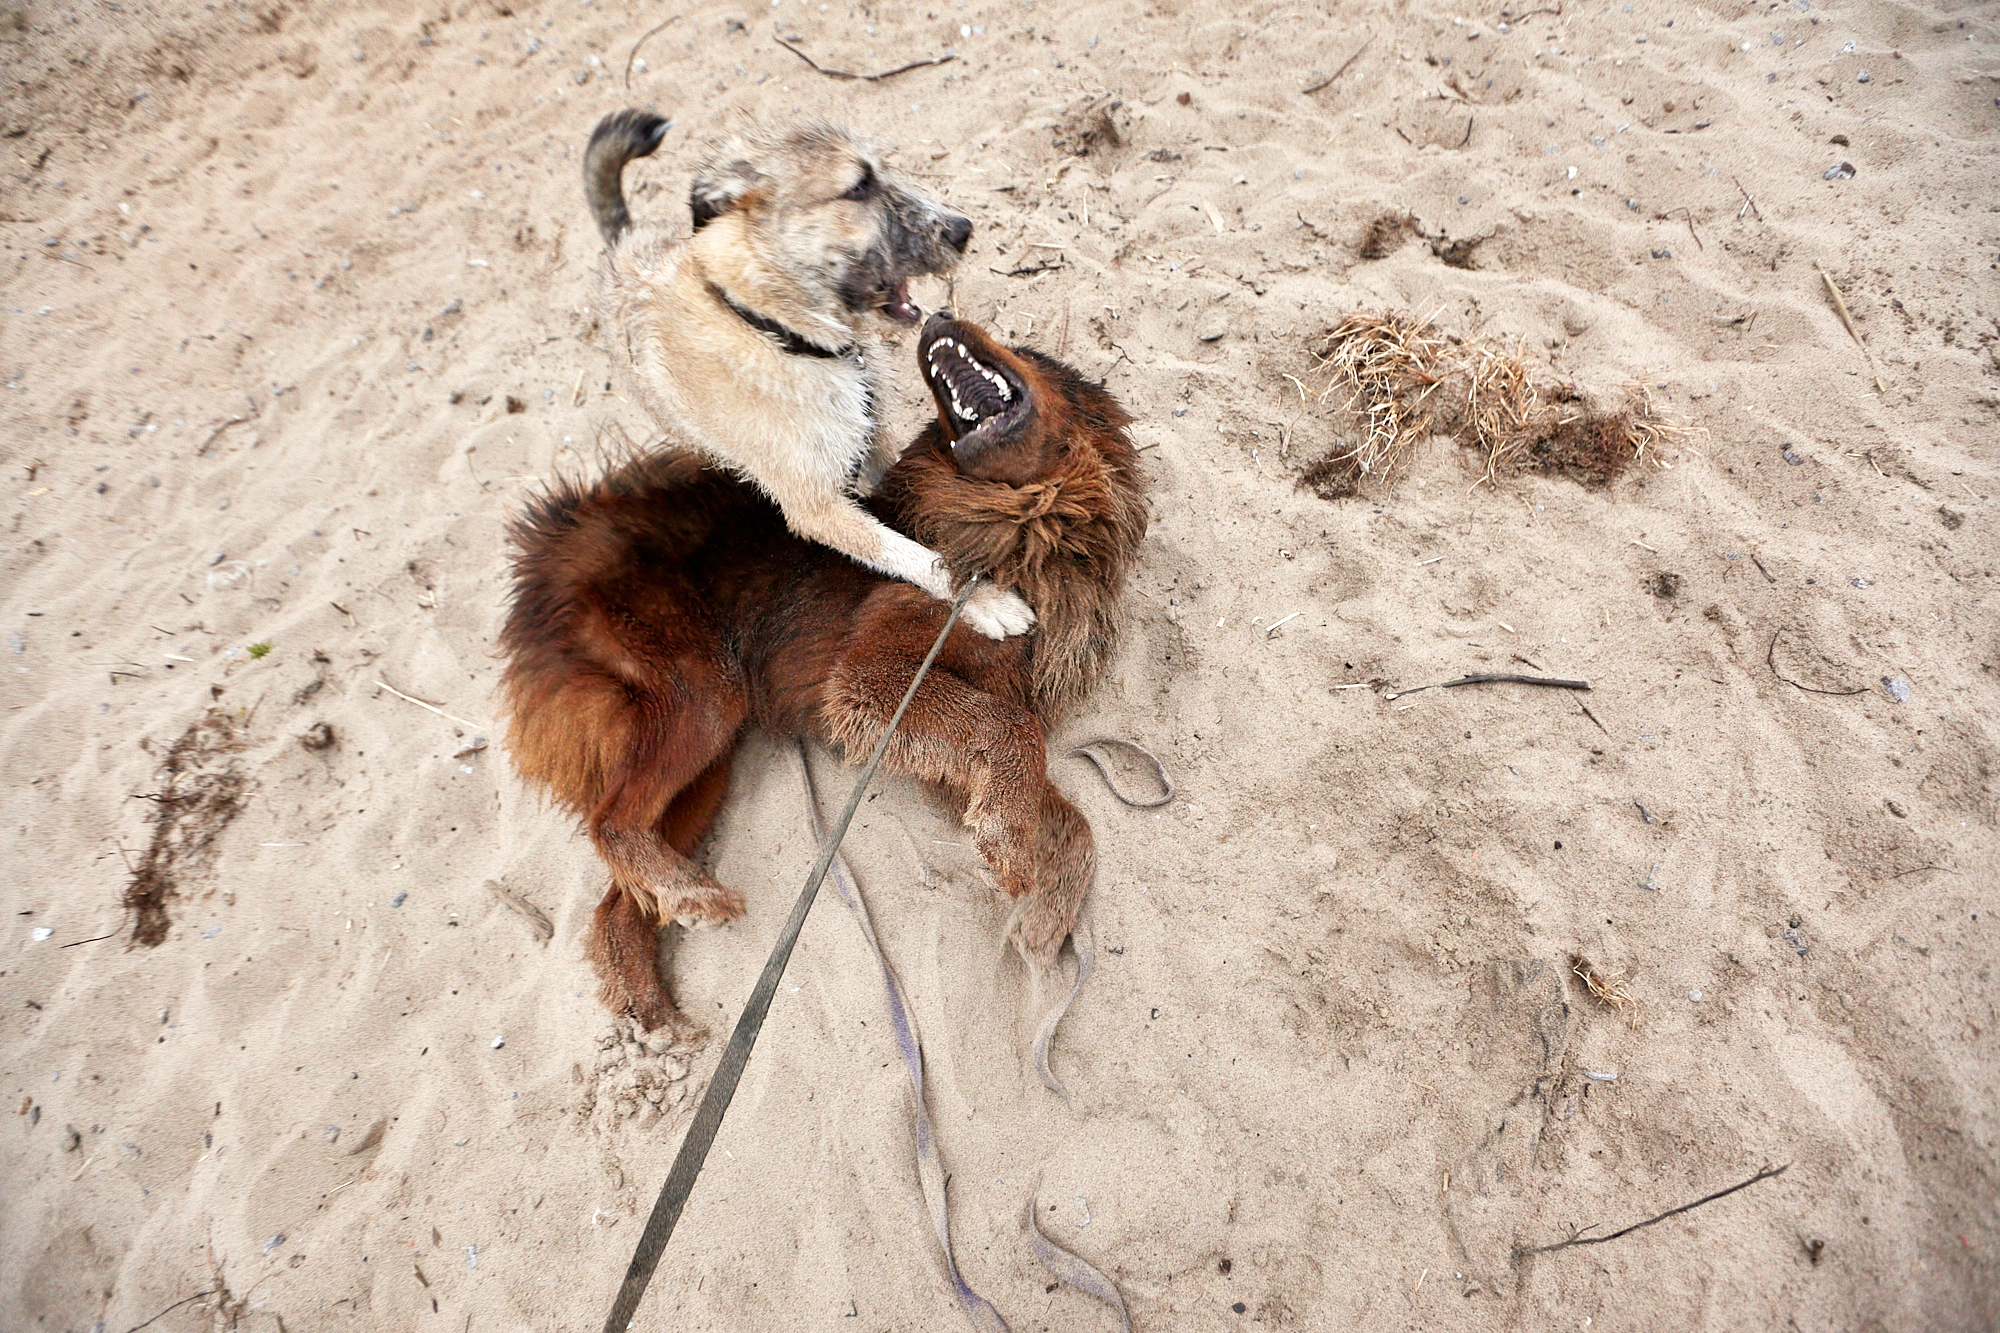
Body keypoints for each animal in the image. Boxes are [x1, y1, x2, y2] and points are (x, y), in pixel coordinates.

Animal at [500, 314, 1152, 1040]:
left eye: (1031, 353)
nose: (937, 315)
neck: (1024, 524)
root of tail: (557, 547)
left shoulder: (940, 745)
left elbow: (1073, 823)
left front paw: (1040, 914)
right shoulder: (869, 681)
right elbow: (1013, 735)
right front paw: (1012, 847)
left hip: (707, 771)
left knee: (616, 897)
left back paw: (656, 999)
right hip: (705, 692)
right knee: (609, 822)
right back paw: (685, 898)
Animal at [576, 109, 1032, 640]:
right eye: (858, 186)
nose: (963, 228)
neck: (779, 333)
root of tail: (622, 242)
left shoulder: (870, 439)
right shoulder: (815, 507)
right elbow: (912, 556)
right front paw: (982, 601)